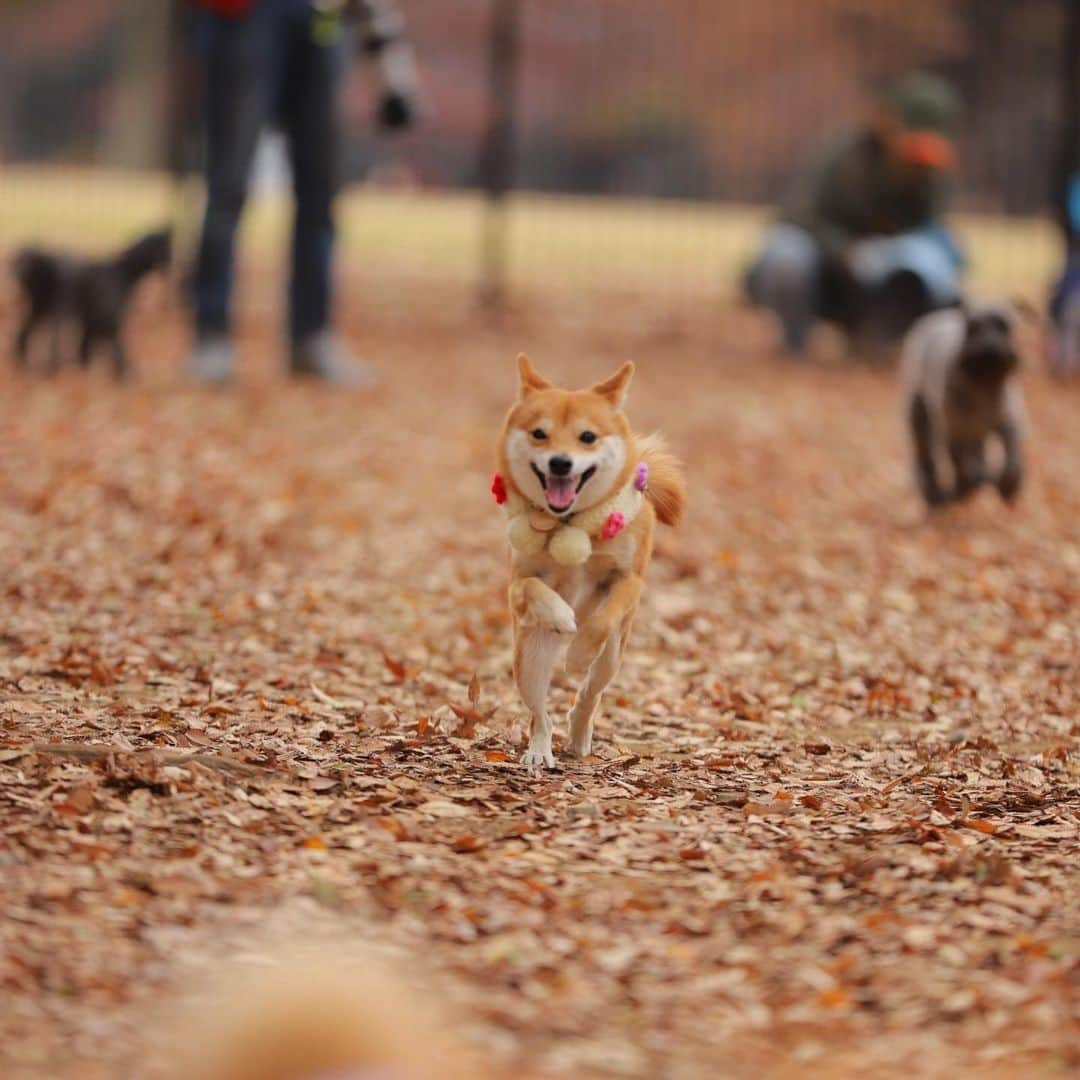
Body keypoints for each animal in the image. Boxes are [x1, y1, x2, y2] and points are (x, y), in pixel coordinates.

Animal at [11, 227, 171, 380]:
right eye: (166, 249)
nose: (169, 268)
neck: (123, 274)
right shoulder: (110, 321)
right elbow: (118, 352)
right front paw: (123, 376)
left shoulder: (93, 323)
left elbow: (86, 350)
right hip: (56, 311)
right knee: (52, 343)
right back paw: (51, 370)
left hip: (40, 309)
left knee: (23, 333)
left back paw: (23, 362)